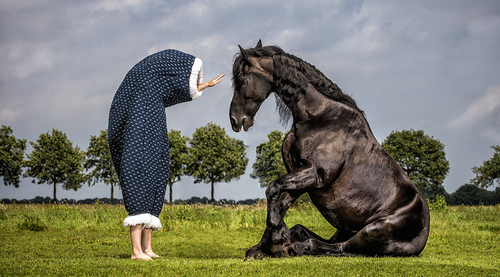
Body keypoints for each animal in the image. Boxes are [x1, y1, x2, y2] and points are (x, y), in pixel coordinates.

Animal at [230, 40, 430, 258]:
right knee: (316, 236)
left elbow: (273, 188)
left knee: (341, 247)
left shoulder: (315, 173)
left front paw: (275, 238)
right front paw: (263, 247)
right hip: (345, 229)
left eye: (241, 79)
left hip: (374, 229)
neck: (317, 115)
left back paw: (297, 246)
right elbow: (280, 201)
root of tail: (422, 237)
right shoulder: (299, 176)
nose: (235, 120)